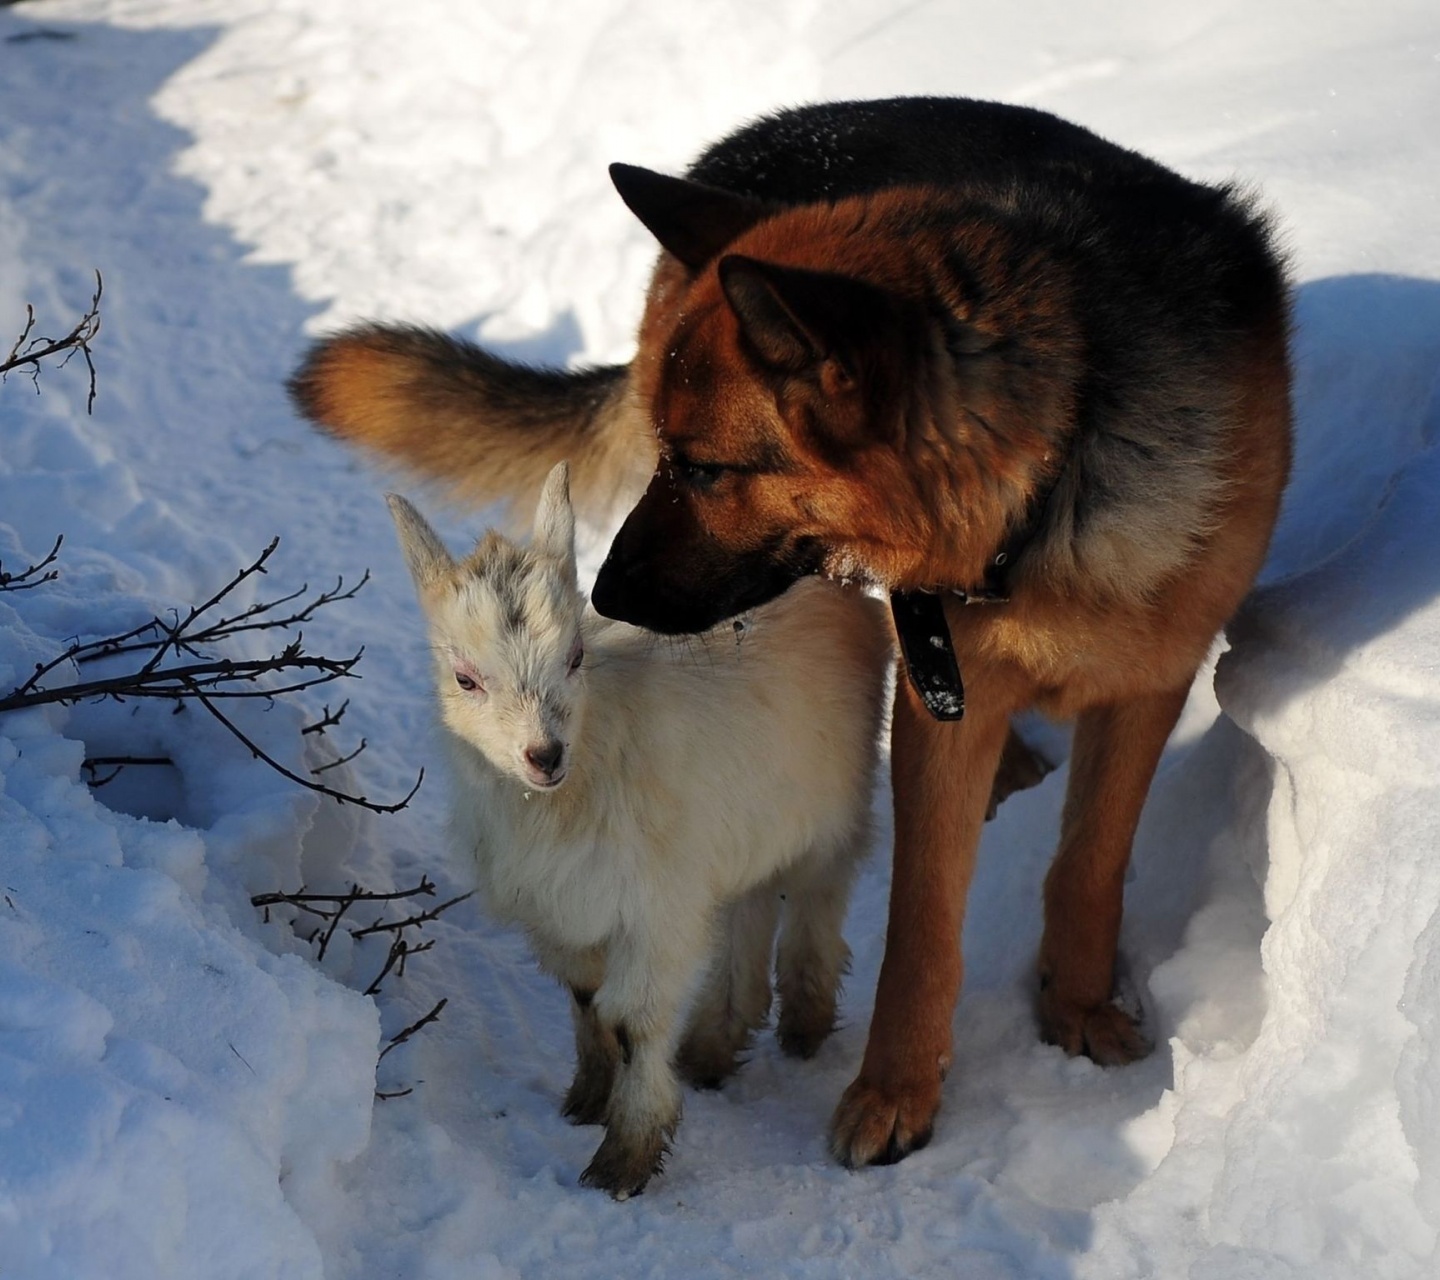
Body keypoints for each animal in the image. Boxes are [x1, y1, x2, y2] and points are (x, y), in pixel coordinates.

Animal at [292, 95, 1296, 1163]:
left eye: (708, 470)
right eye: (669, 457)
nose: (606, 595)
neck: (1056, 476)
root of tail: (754, 138)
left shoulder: (1152, 680)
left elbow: (1090, 866)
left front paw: (1076, 1010)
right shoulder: (942, 697)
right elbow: (920, 924)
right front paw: (895, 1091)